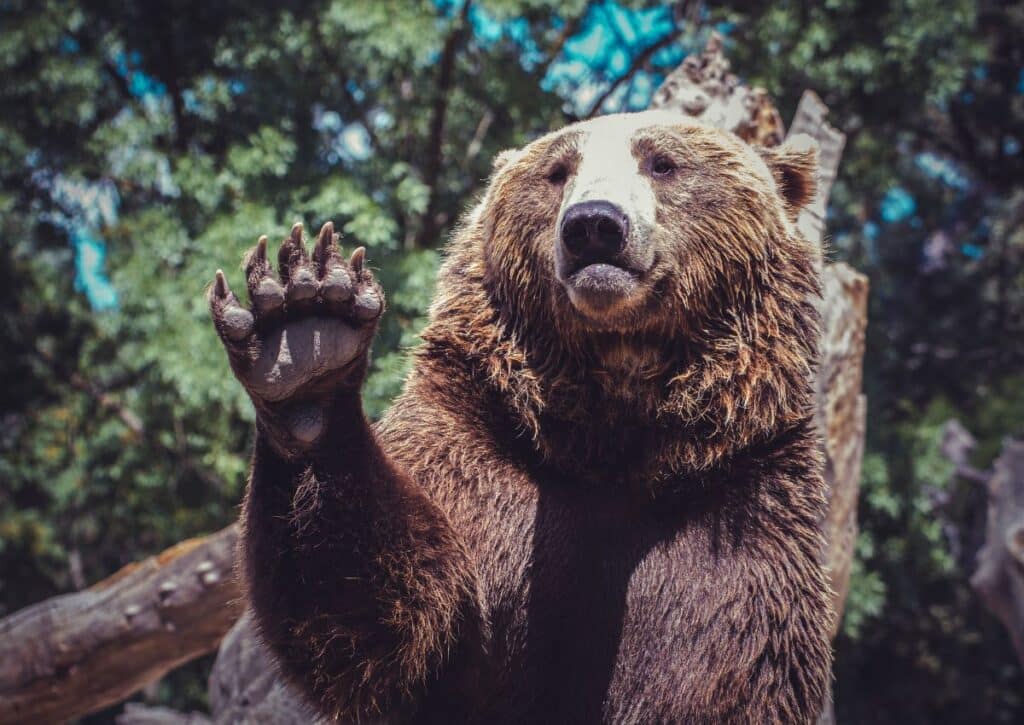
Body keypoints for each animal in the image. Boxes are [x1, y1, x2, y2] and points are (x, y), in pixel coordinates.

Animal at [205, 110, 831, 720]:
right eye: (557, 170)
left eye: (662, 162)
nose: (594, 225)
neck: (612, 434)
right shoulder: (478, 451)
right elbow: (391, 620)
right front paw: (305, 333)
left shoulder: (740, 511)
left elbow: (722, 667)